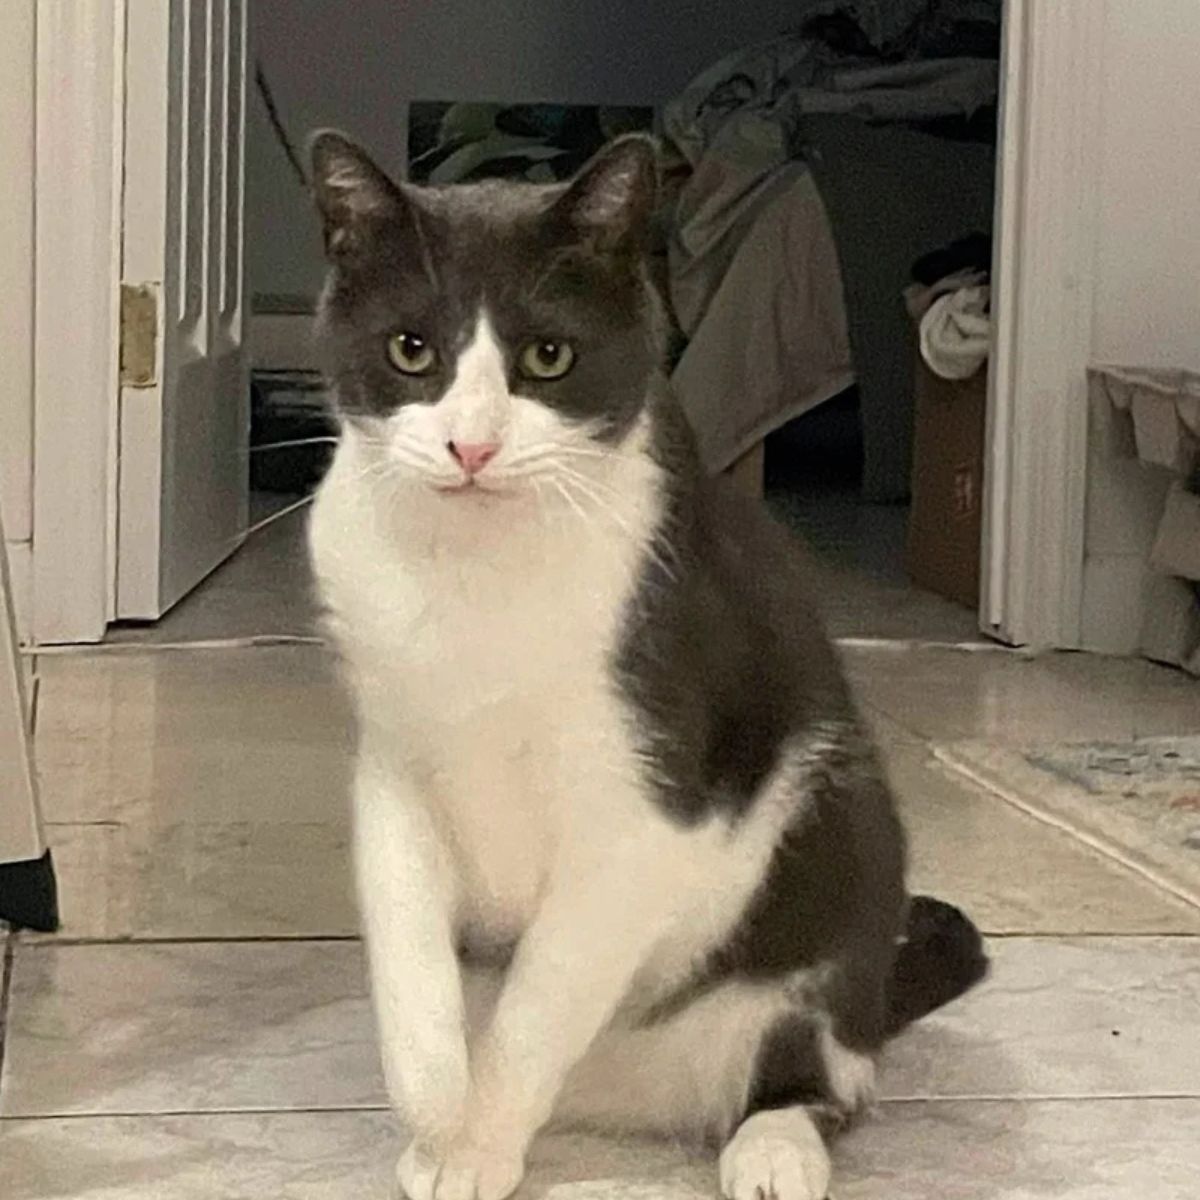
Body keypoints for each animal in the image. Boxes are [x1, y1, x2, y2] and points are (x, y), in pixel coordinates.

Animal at [302, 131, 984, 1200]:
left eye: (547, 357)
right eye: (411, 349)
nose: (470, 446)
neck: (476, 574)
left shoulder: (644, 807)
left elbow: (540, 999)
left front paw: (477, 1145)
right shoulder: (393, 760)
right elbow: (407, 958)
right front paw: (437, 1114)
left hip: (844, 846)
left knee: (826, 1069)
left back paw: (774, 1146)